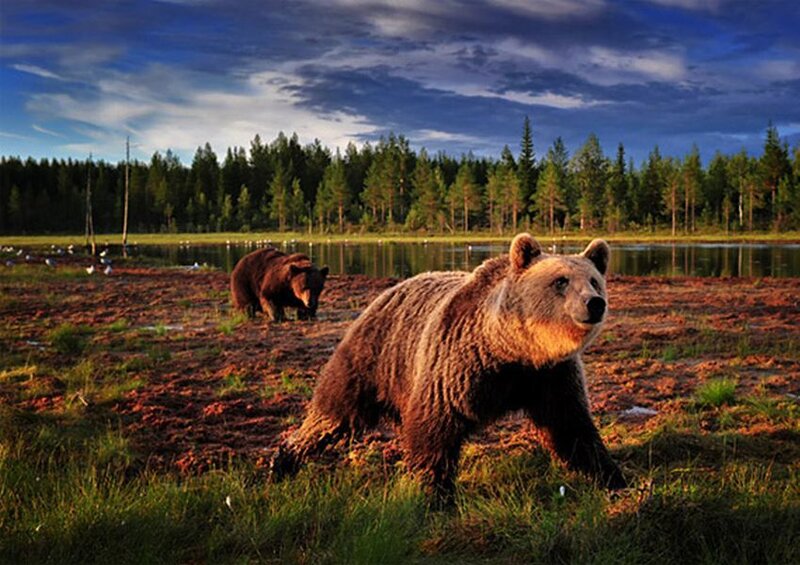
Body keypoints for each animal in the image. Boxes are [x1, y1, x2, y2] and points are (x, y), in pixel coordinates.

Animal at [270, 234, 626, 498]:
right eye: (561, 281)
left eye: (594, 280)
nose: (594, 303)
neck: (512, 350)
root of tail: (389, 291)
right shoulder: (457, 368)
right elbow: (434, 430)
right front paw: (431, 492)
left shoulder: (549, 376)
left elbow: (572, 427)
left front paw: (612, 477)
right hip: (372, 359)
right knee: (332, 413)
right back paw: (284, 460)